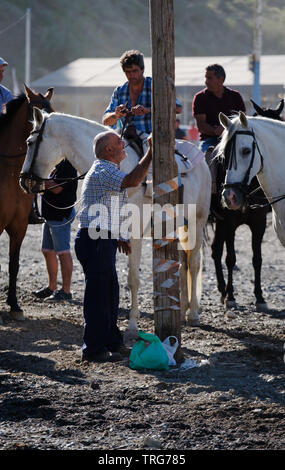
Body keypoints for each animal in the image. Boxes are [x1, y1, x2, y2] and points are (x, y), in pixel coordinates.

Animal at [20, 109, 210, 340]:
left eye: (30, 142)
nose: (23, 181)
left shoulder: (135, 234)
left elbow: (133, 280)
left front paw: (132, 327)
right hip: (178, 227)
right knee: (182, 264)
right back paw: (181, 313)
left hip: (197, 222)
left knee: (194, 264)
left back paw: (194, 315)